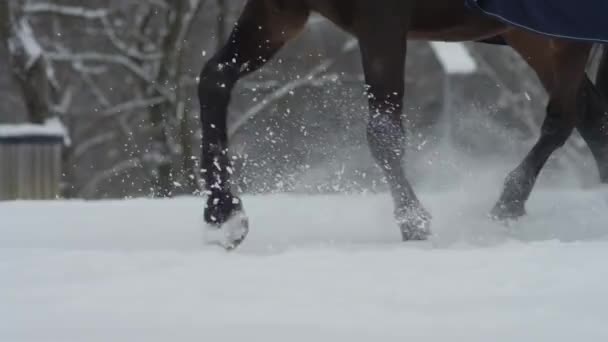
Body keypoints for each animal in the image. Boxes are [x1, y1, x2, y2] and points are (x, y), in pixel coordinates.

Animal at [197, 0, 608, 248]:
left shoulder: (382, 22)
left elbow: (383, 132)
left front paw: (413, 221)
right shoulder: (279, 9)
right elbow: (215, 78)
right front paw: (224, 215)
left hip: (559, 38)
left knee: (565, 119)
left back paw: (508, 204)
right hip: (528, 35)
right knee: (591, 117)